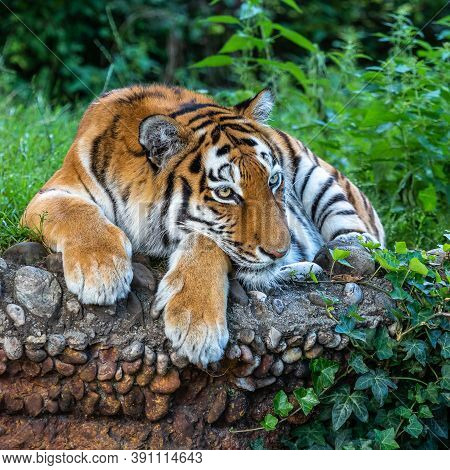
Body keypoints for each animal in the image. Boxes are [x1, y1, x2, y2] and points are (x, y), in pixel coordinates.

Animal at [22, 84, 384, 368]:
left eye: (274, 181)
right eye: (225, 193)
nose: (280, 251)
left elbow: (206, 240)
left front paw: (197, 324)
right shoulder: (50, 193)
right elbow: (76, 213)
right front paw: (101, 271)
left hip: (319, 175)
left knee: (364, 240)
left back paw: (340, 254)